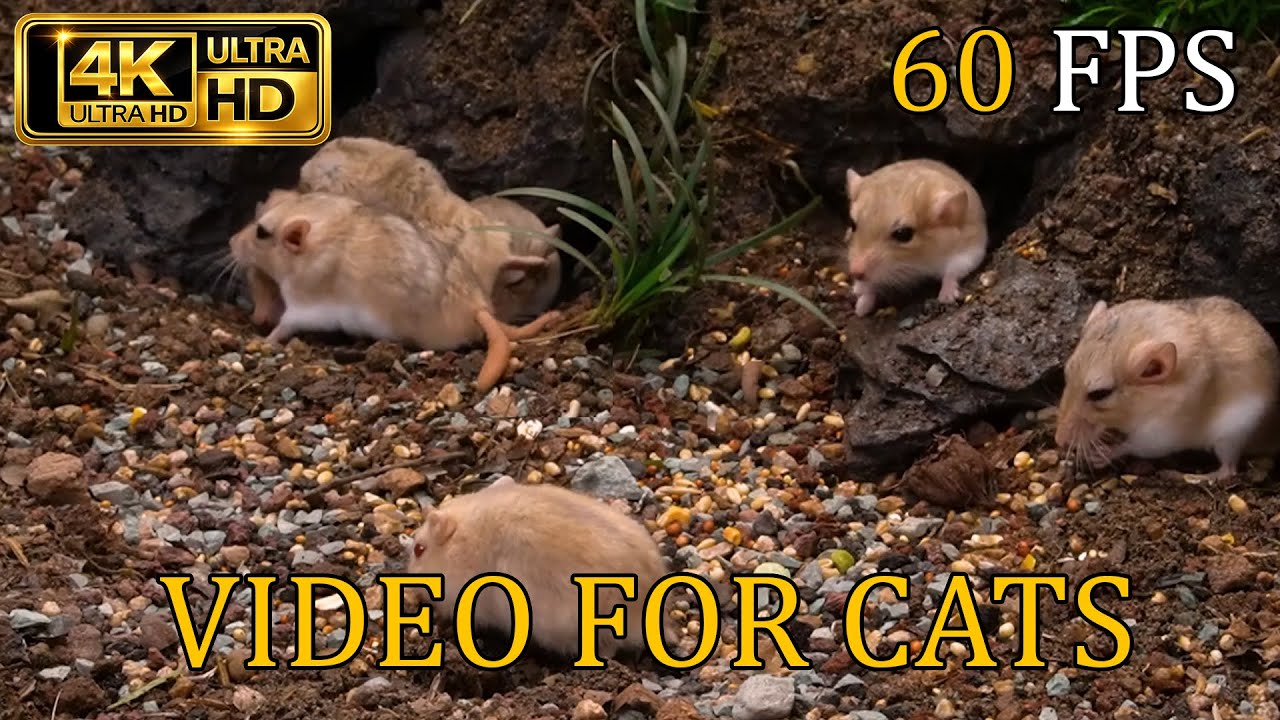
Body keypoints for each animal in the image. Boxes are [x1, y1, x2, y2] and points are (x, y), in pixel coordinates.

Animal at [228, 188, 560, 393]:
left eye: (261, 233)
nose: (230, 242)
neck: (324, 233)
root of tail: (479, 308)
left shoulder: (304, 302)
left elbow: (285, 325)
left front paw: (263, 342)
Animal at [844, 158, 988, 317]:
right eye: (852, 224)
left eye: (903, 233)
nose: (855, 272)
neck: (916, 262)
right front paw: (860, 307)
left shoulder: (968, 251)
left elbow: (952, 273)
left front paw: (946, 297)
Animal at [1055, 296, 1280, 480]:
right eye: (1066, 373)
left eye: (1100, 394)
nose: (1058, 440)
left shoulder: (1158, 434)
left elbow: (1128, 446)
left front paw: (1097, 456)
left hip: (1232, 432)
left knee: (1228, 470)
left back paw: (1190, 476)